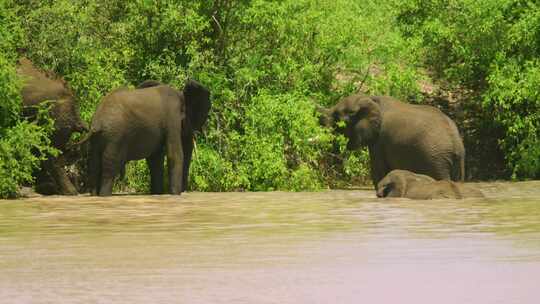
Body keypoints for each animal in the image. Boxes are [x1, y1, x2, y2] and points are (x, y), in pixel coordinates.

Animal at [318, 95, 466, 190]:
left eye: (337, 116)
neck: (369, 98)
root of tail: (455, 142)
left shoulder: (379, 140)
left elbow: (379, 171)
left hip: (436, 159)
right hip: (457, 161)